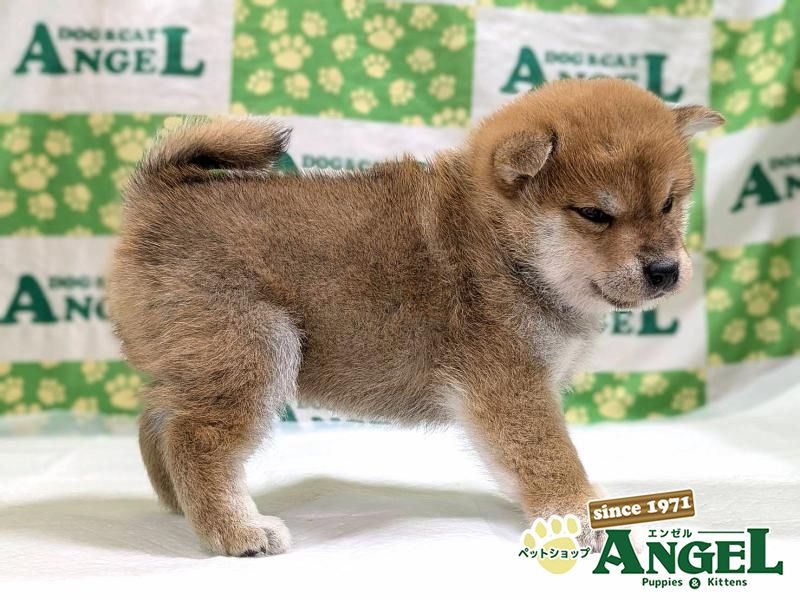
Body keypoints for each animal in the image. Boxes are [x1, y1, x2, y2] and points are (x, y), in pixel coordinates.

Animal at [108, 78, 723, 557]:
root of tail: (156, 198)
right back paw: (238, 532)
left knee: (156, 420)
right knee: (194, 437)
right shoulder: (509, 386)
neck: (502, 243)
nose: (666, 269)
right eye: (595, 214)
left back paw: (178, 506)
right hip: (254, 346)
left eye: (669, 203)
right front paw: (581, 516)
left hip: (197, 359)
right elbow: (552, 458)